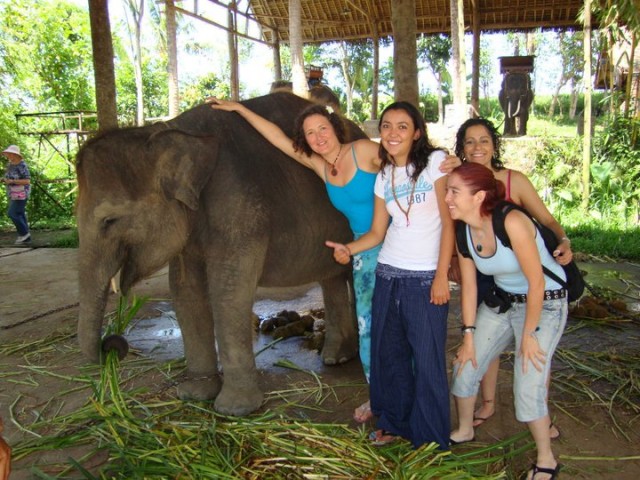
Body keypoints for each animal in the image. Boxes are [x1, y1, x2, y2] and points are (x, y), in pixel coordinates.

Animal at [75, 92, 368, 414]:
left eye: (109, 220)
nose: (112, 345)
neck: (168, 129)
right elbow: (185, 291)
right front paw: (194, 394)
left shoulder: (239, 208)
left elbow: (228, 291)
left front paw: (234, 409)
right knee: (332, 278)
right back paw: (336, 358)